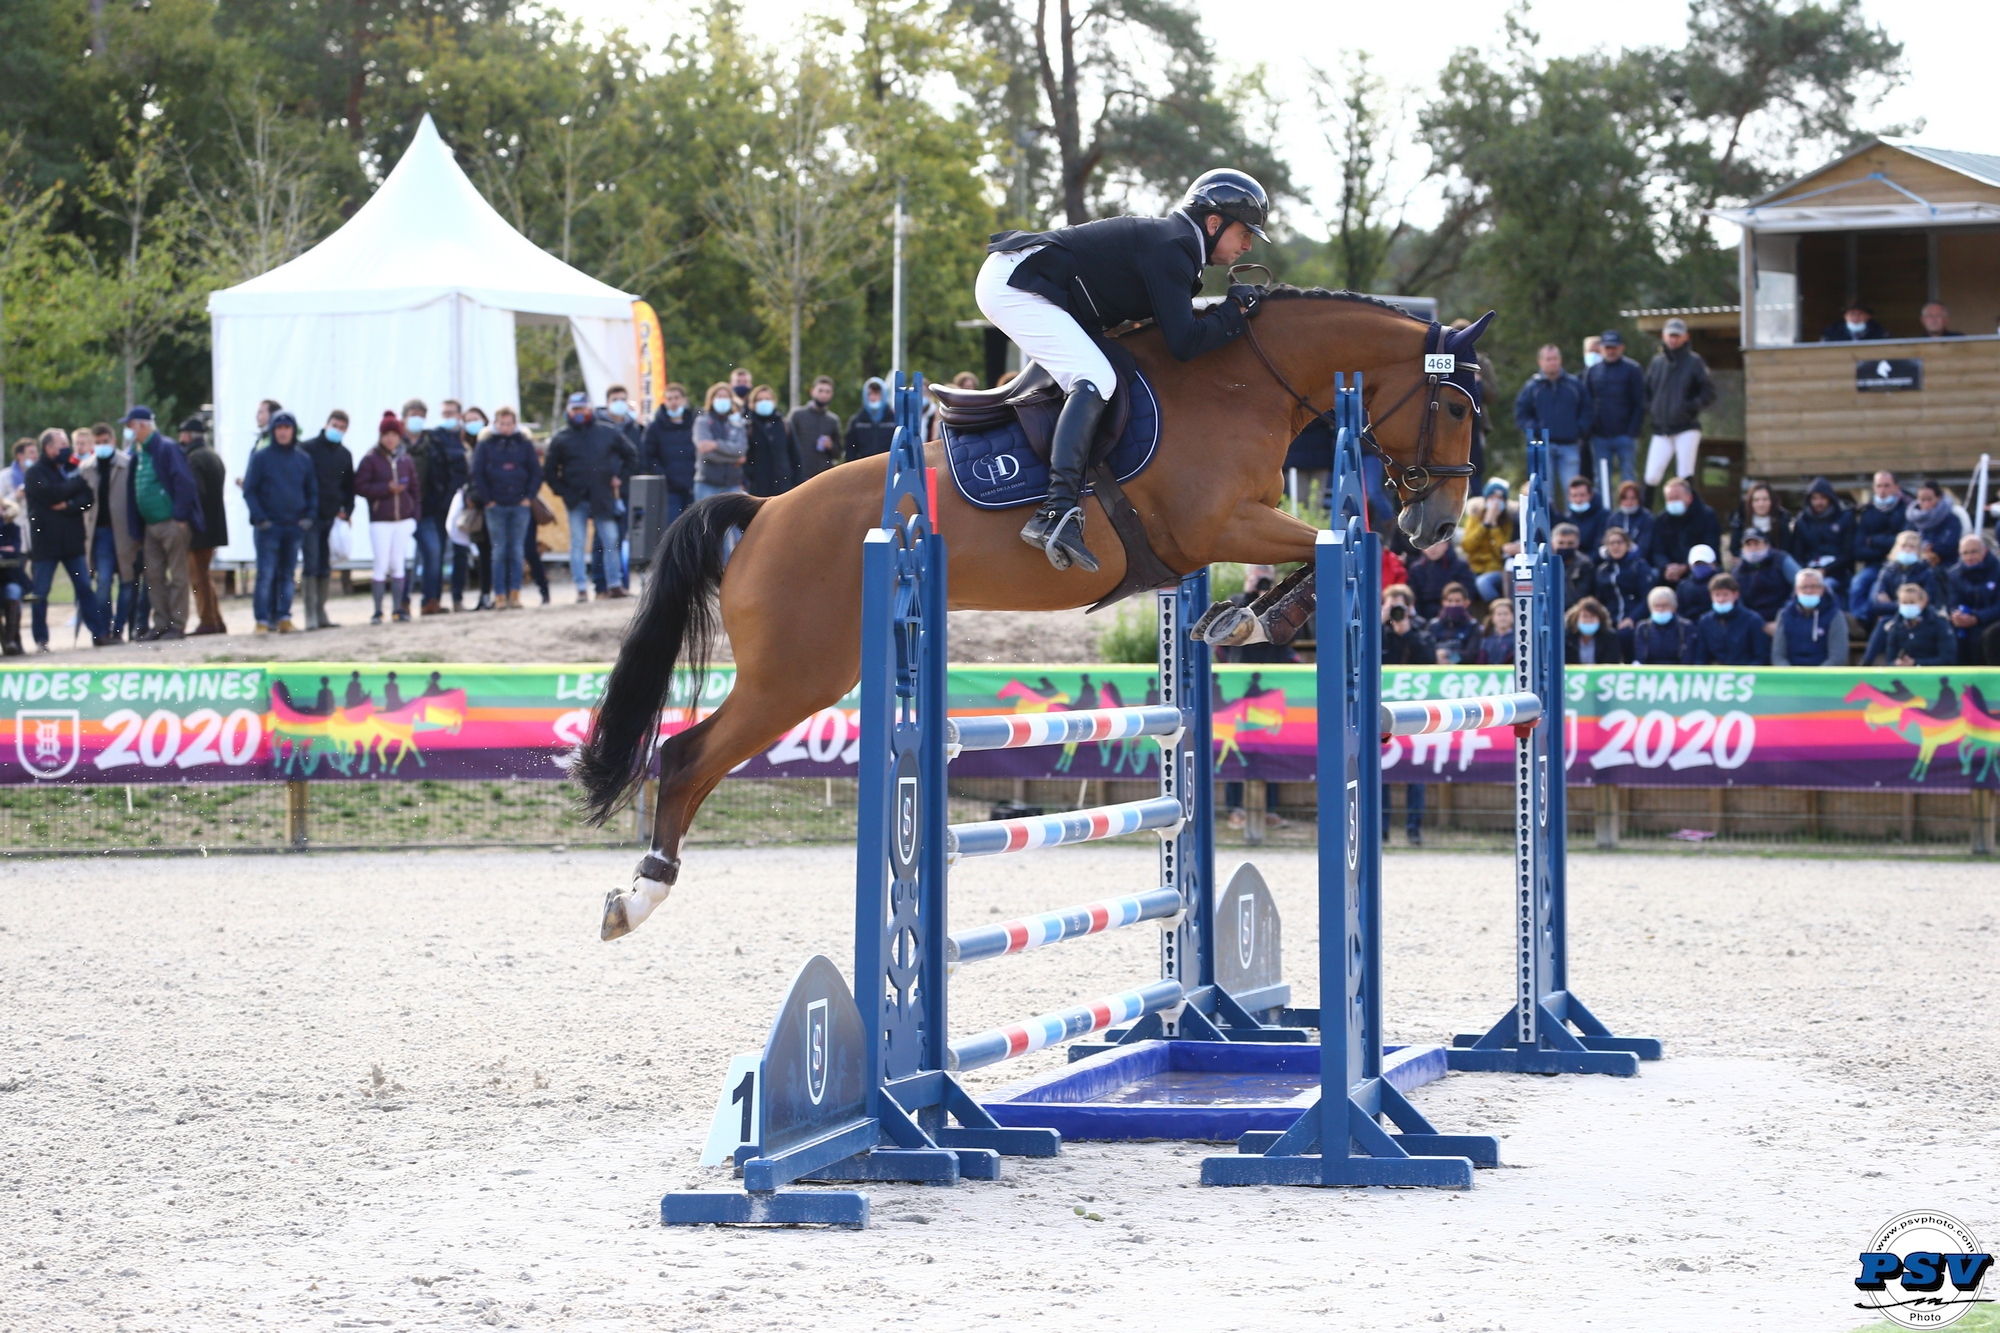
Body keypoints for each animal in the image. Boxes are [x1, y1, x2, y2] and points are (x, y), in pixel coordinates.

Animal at [574, 288, 1493, 939]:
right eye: (1454, 408)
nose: (1441, 523)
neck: (1241, 379)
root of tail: (762, 512)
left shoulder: (1229, 531)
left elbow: (1319, 545)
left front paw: (1236, 617)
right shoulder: (1217, 523)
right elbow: (1345, 540)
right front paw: (1265, 615)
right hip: (795, 676)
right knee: (686, 756)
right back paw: (638, 896)